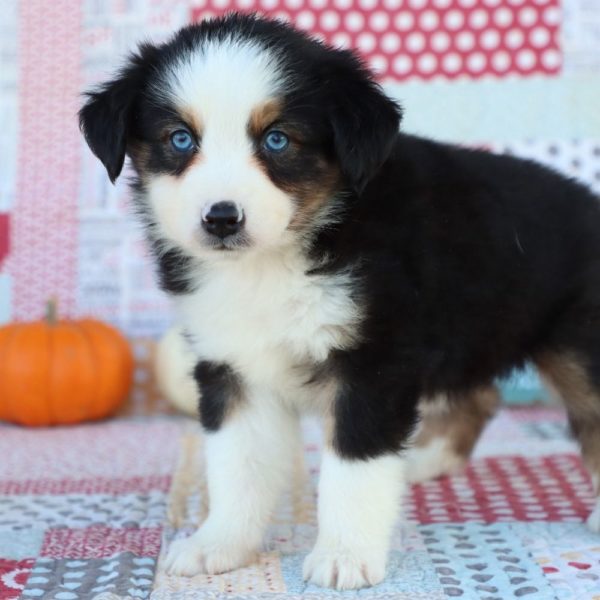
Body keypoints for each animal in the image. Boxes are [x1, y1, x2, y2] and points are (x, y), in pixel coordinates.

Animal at [81, 14, 600, 592]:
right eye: (180, 139)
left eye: (277, 139)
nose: (221, 218)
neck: (275, 261)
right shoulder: (233, 364)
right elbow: (237, 465)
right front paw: (218, 544)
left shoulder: (372, 363)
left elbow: (355, 469)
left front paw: (344, 556)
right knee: (480, 396)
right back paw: (424, 460)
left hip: (579, 347)